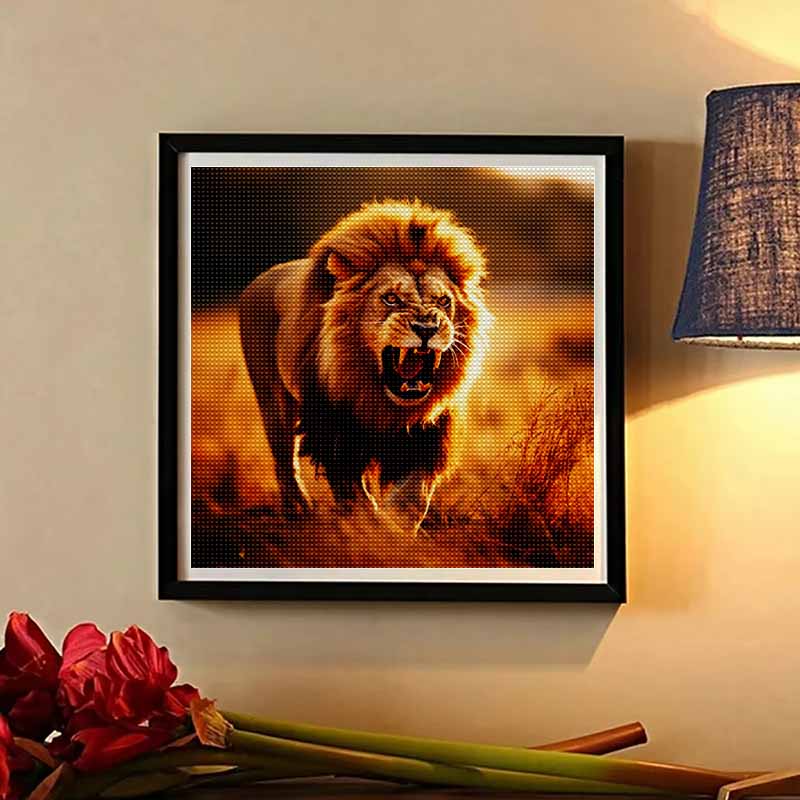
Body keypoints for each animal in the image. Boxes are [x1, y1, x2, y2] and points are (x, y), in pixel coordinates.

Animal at [239, 199, 490, 534]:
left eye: (442, 301)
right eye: (391, 298)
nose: (426, 327)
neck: (383, 403)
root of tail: (261, 278)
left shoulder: (431, 433)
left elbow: (414, 495)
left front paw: (397, 528)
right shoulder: (334, 432)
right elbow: (355, 495)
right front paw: (373, 529)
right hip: (273, 401)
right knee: (284, 460)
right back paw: (300, 511)